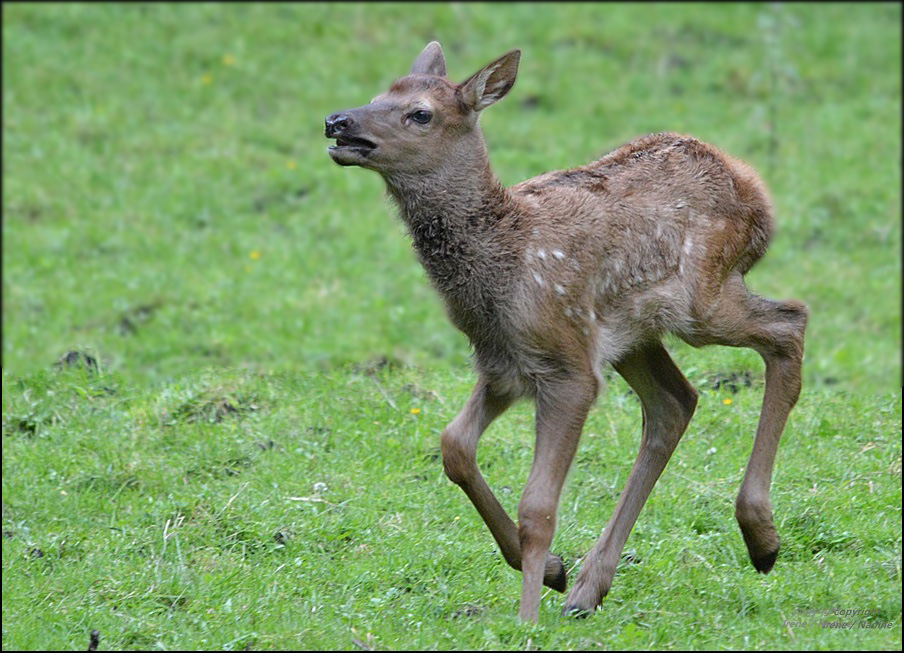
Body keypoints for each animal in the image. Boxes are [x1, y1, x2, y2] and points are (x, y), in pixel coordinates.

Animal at [324, 42, 804, 620]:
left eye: (420, 113)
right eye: (378, 94)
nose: (337, 122)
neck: (500, 267)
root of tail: (755, 190)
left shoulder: (567, 370)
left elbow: (538, 508)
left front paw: (527, 618)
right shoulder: (503, 363)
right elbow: (454, 446)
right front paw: (554, 572)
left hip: (701, 300)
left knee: (790, 322)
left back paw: (762, 538)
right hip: (630, 335)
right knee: (676, 401)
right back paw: (589, 588)